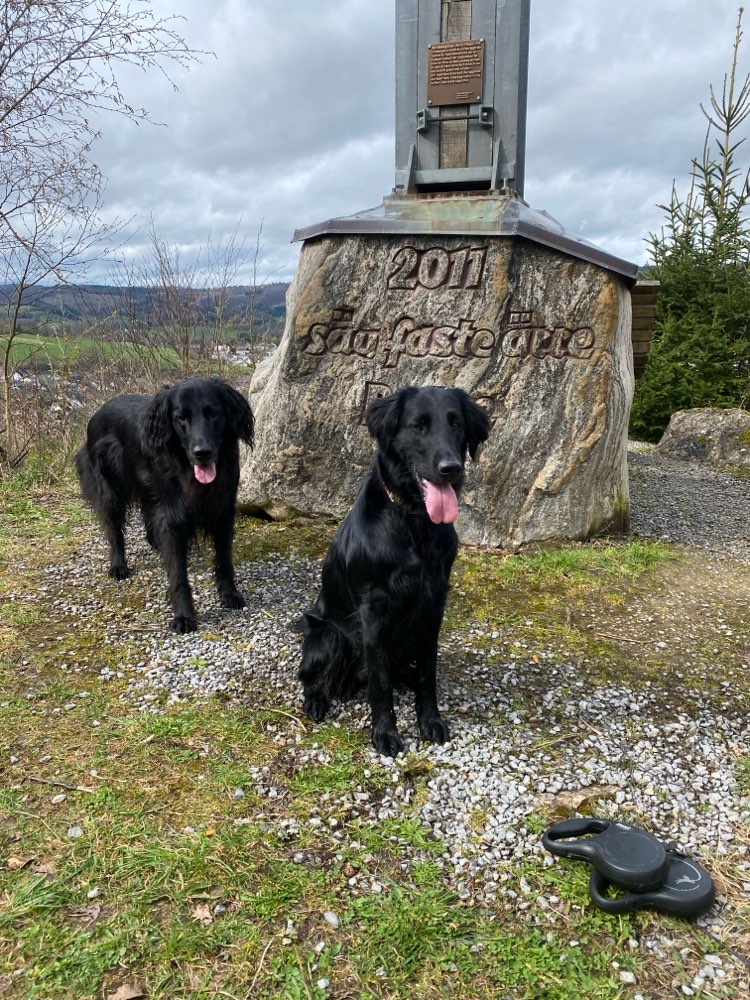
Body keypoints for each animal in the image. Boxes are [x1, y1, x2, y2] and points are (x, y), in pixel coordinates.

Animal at [75, 376, 256, 632]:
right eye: (181, 418)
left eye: (214, 413)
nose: (202, 453)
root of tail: (98, 412)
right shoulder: (173, 516)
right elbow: (178, 574)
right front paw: (183, 616)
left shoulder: (223, 511)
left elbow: (224, 561)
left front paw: (230, 595)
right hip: (110, 489)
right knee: (114, 529)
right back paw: (118, 566)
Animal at [300, 386, 494, 752]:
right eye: (418, 426)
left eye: (457, 424)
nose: (451, 468)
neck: (415, 522)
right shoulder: (374, 608)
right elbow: (380, 682)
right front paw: (386, 733)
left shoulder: (433, 604)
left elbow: (428, 673)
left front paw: (431, 721)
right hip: (329, 636)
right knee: (308, 677)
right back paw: (316, 701)